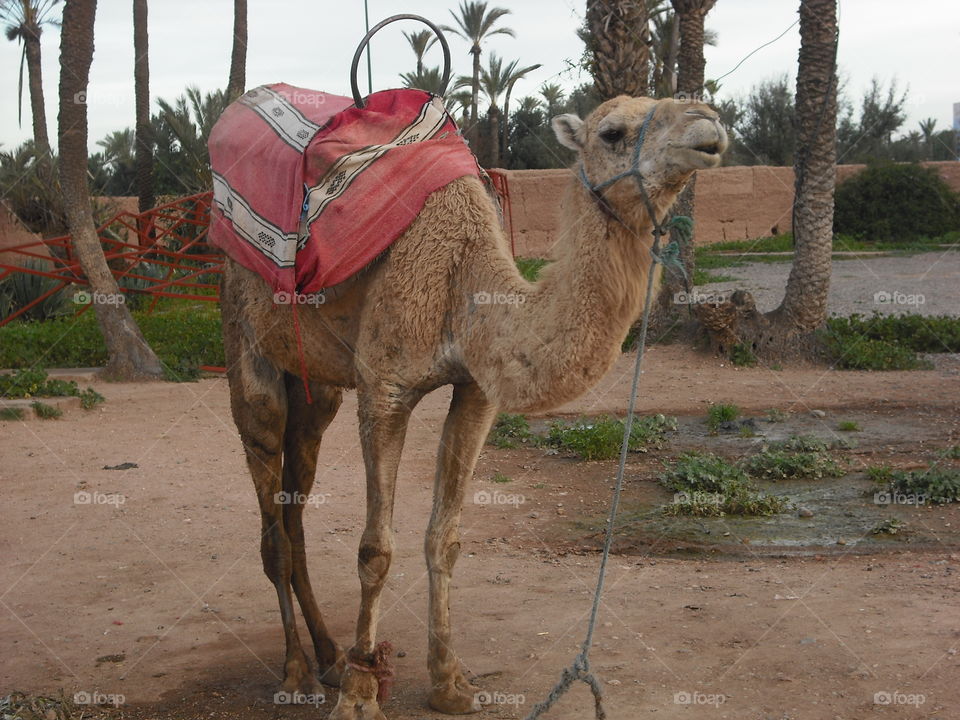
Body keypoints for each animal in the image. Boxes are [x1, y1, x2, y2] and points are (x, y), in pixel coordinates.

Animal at [219, 94, 727, 719]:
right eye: (612, 132)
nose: (708, 124)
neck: (464, 281)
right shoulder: (384, 390)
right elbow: (374, 550)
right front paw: (362, 697)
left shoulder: (476, 393)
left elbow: (446, 538)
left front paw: (449, 683)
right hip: (245, 335)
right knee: (271, 511)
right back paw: (297, 674)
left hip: (316, 387)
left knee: (296, 503)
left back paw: (331, 657)